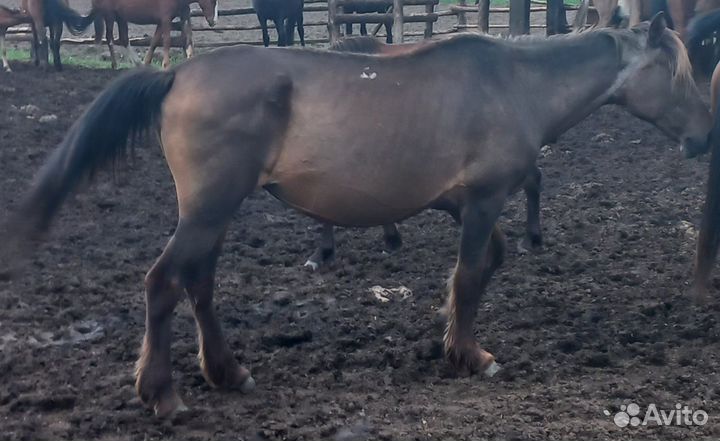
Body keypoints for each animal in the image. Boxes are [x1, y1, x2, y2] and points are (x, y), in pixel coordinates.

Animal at [4, 14, 711, 418]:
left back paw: (228, 372)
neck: (514, 83)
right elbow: (470, 278)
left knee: (198, 286)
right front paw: (469, 354)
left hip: (216, 211)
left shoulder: (462, 202)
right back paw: (162, 393)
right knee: (162, 284)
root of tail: (177, 75)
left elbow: (486, 265)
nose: (705, 138)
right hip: (207, 210)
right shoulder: (483, 199)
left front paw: (450, 337)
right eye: (680, 76)